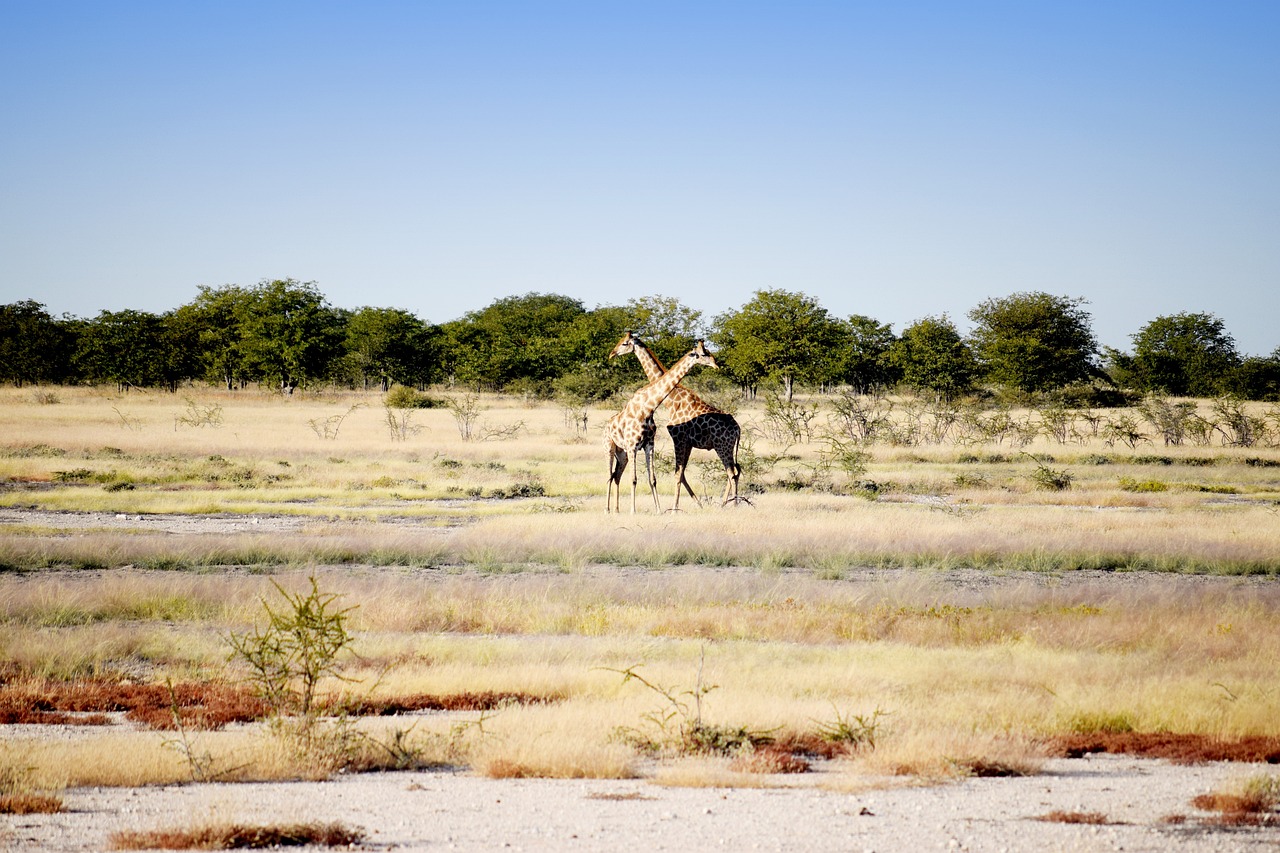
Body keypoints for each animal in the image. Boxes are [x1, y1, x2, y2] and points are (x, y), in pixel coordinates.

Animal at [606, 330, 742, 504]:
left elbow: (678, 474)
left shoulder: (678, 438)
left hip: (722, 446)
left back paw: (729, 504)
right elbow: (682, 474)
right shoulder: (687, 443)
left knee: (732, 473)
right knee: (735, 472)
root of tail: (737, 429)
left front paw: (676, 507)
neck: (671, 400)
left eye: (624, 343)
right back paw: (728, 503)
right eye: (705, 352)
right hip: (728, 447)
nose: (612, 353)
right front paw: (697, 504)